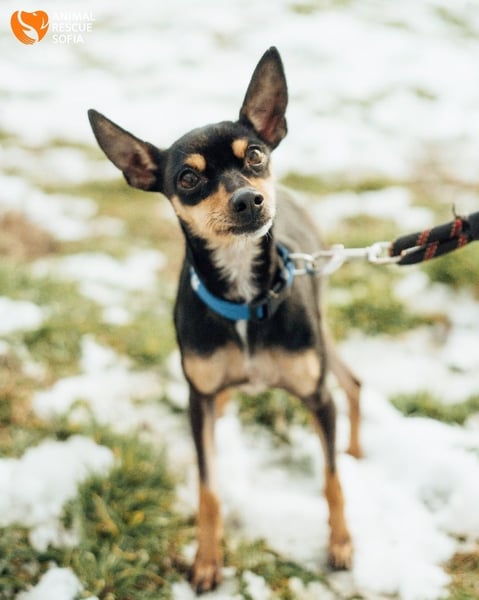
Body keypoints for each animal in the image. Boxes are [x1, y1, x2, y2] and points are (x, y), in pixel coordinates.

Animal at [88, 46, 361, 594]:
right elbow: (208, 488)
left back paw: (359, 452)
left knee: (352, 382)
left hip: (321, 339)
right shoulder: (198, 399)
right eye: (188, 179)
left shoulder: (317, 398)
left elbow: (331, 478)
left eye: (254, 155)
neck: (243, 296)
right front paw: (207, 561)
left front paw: (340, 543)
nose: (248, 199)